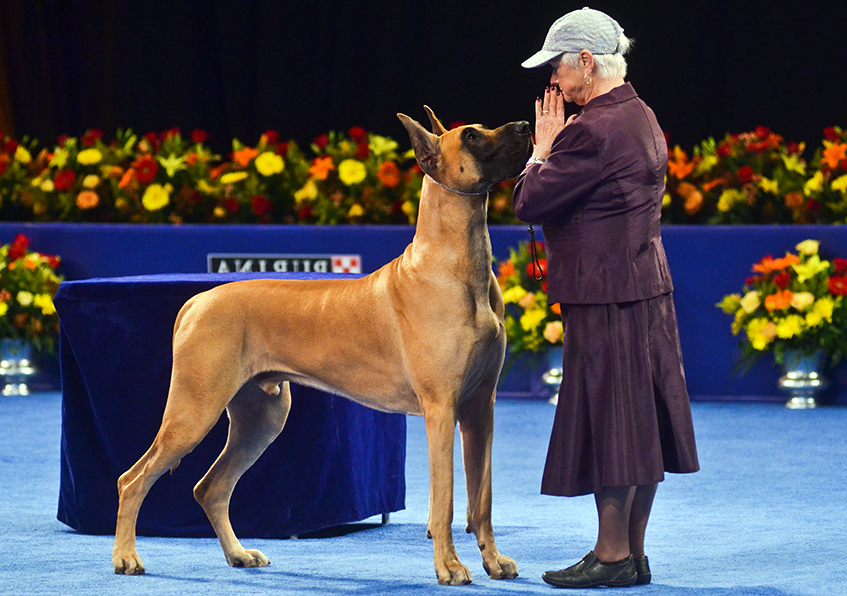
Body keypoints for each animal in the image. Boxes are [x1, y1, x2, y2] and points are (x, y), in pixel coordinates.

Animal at [110, 106, 532, 584]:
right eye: (473, 136)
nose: (525, 127)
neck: (458, 264)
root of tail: (197, 300)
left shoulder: (481, 408)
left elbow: (483, 498)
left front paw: (494, 561)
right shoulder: (441, 409)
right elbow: (443, 500)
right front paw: (449, 566)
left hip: (262, 417)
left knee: (211, 487)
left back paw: (239, 554)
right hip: (193, 411)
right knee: (134, 479)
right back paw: (126, 557)